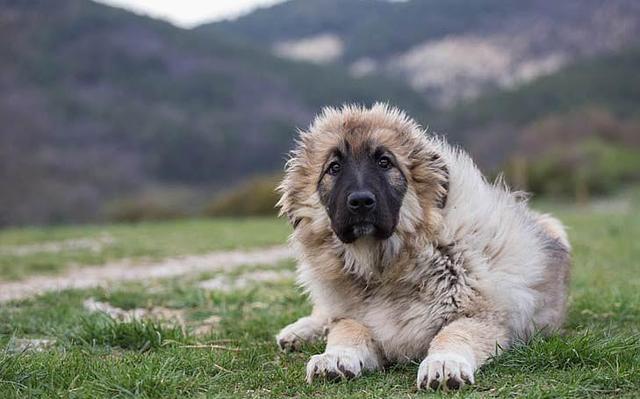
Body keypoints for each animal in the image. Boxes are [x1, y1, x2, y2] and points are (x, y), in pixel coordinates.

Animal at [276, 104, 568, 392]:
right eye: (334, 168)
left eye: (385, 162)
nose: (360, 202)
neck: (385, 268)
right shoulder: (352, 316)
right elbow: (347, 331)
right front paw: (335, 358)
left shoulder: (480, 316)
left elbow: (453, 334)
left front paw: (444, 363)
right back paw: (298, 332)